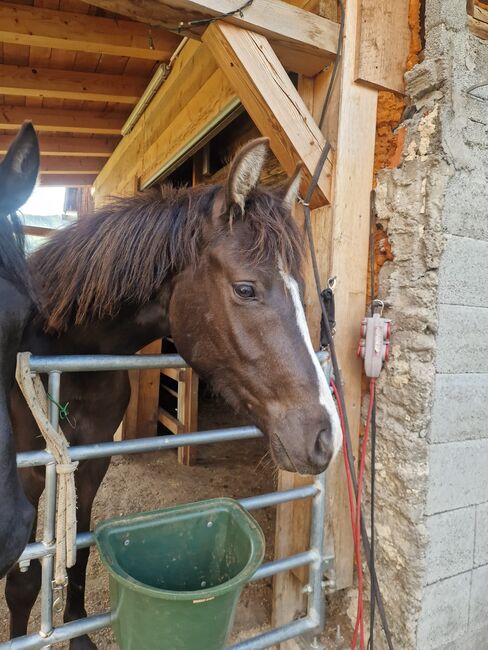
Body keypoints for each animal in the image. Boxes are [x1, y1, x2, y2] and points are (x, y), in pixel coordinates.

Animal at [4, 134, 340, 644]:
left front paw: (78, 632)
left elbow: (79, 549)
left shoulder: (92, 461)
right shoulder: (26, 477)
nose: (325, 438)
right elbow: (22, 583)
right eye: (245, 289)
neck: (62, 352)